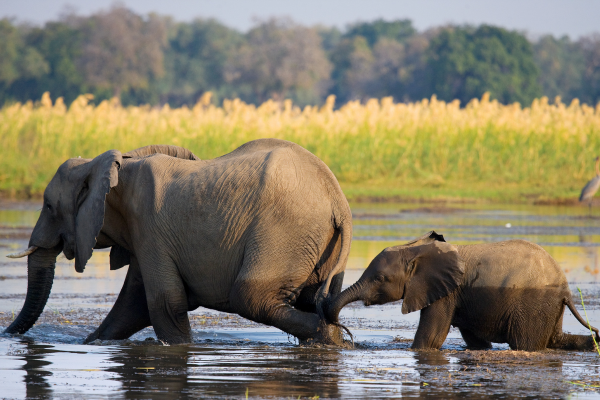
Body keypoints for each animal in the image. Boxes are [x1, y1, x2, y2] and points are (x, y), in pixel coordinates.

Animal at [5, 140, 352, 344]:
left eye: (49, 206)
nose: (5, 334)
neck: (105, 165)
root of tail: (337, 200)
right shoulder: (143, 234)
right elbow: (133, 306)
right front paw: (93, 342)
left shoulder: (150, 227)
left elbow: (164, 303)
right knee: (313, 301)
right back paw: (331, 338)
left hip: (284, 232)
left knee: (249, 296)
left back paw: (328, 335)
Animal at [328, 231, 600, 350]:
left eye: (380, 278)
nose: (350, 339)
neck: (416, 250)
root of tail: (565, 289)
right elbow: (476, 341)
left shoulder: (445, 294)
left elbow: (430, 338)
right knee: (558, 340)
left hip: (534, 304)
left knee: (526, 344)